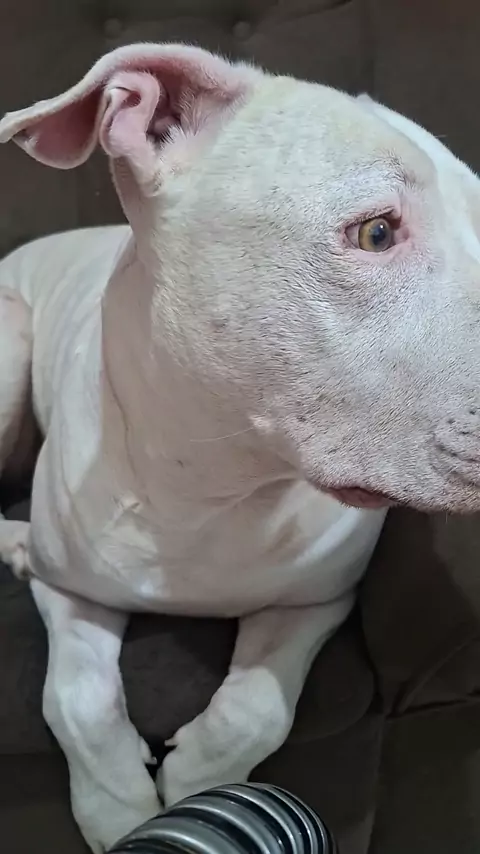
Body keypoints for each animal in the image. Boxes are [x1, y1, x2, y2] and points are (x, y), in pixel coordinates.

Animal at [1, 43, 480, 853]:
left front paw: (197, 781)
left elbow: (256, 706)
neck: (215, 483)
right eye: (377, 233)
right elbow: (76, 697)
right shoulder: (69, 592)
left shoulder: (318, 600)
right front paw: (119, 806)